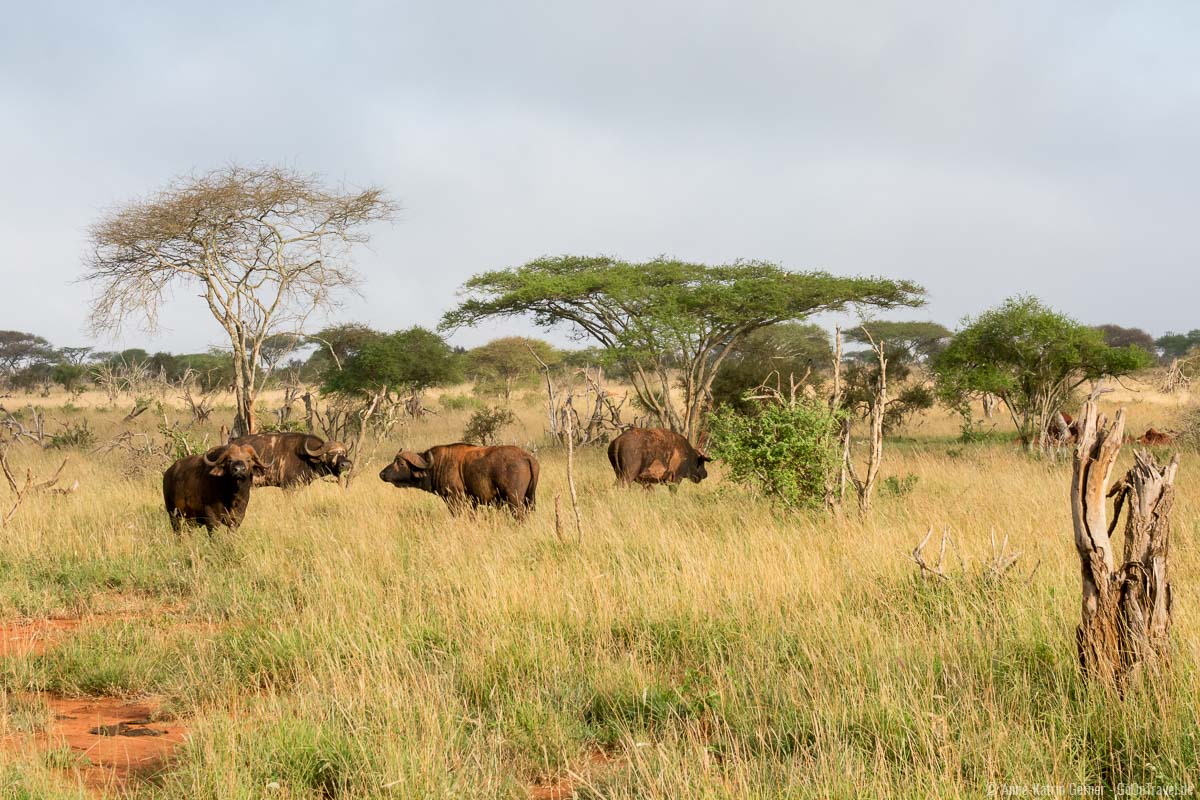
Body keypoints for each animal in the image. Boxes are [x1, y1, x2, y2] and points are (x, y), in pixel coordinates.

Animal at [379, 443, 540, 520]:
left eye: (400, 463)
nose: (382, 474)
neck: (438, 464)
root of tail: (526, 456)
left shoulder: (455, 500)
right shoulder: (472, 504)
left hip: (515, 502)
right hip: (529, 501)